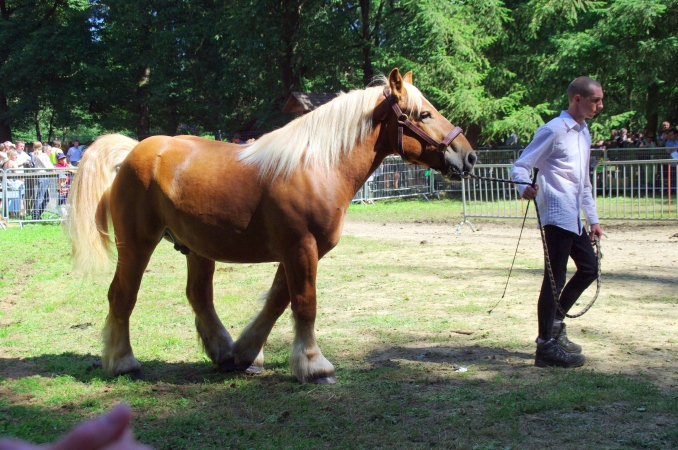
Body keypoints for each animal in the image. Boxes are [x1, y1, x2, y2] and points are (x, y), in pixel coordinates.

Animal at [65, 69, 478, 384]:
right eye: (423, 115)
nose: (469, 156)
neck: (317, 166)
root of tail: (133, 152)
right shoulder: (301, 247)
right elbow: (305, 304)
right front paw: (314, 365)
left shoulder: (300, 251)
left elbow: (279, 301)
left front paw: (247, 353)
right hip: (137, 244)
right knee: (122, 296)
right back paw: (123, 362)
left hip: (197, 248)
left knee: (199, 297)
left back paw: (222, 351)